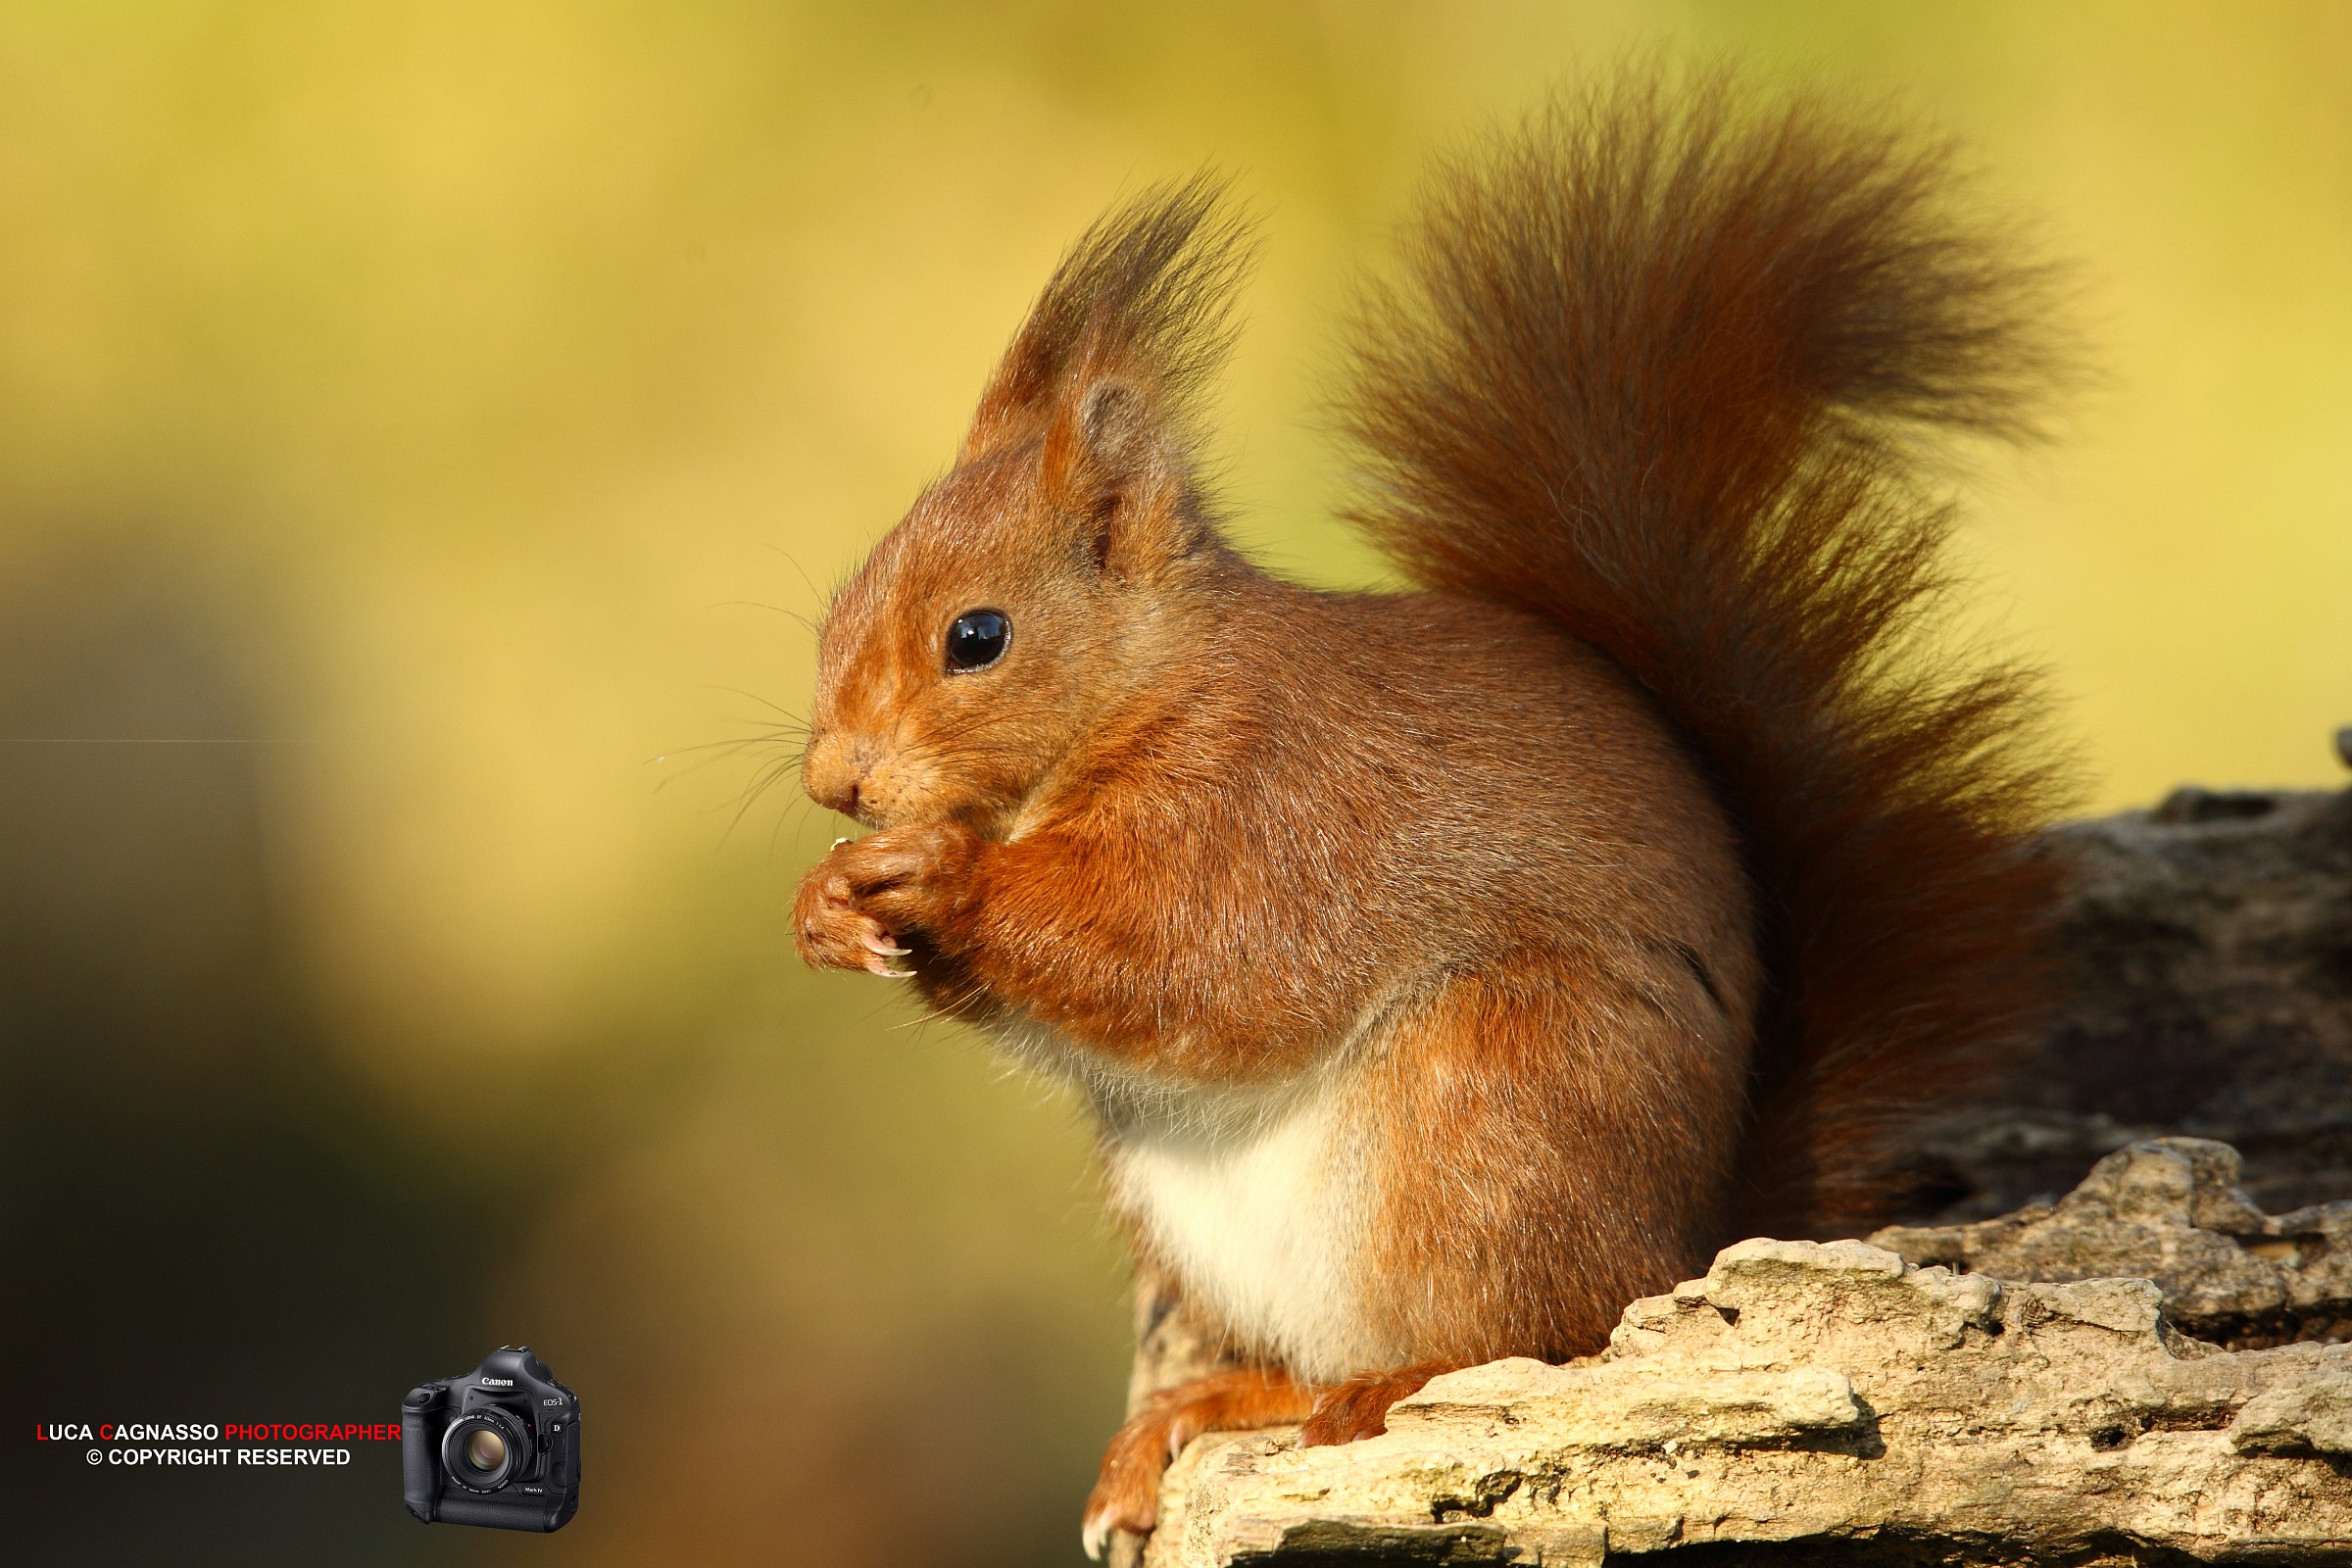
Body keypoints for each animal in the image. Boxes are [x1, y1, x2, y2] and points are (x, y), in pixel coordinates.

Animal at [790, 70, 2072, 1558]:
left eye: (977, 637)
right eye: (841, 600)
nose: (836, 782)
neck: (1154, 689)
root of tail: (1684, 1235)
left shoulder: (1280, 803)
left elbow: (1190, 959)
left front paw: (939, 873)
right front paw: (829, 907)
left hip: (1491, 1114)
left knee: (1546, 1332)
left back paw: (1399, 1381)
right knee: (1315, 1363)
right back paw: (1194, 1413)